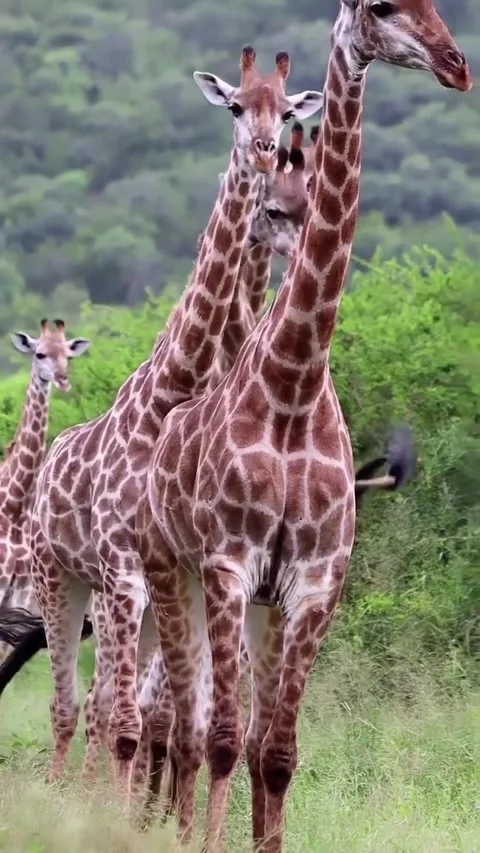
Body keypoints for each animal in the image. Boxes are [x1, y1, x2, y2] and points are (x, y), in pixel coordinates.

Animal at [29, 46, 323, 803]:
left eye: (286, 109)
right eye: (234, 105)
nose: (264, 149)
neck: (177, 382)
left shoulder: (157, 574)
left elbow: (152, 717)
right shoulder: (125, 570)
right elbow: (124, 715)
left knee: (109, 706)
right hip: (59, 578)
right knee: (73, 706)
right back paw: (66, 796)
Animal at [137, 2, 470, 849]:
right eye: (381, 9)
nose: (457, 65)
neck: (293, 383)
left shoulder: (314, 581)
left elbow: (277, 751)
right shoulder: (228, 565)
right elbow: (223, 740)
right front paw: (205, 841)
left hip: (257, 604)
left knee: (214, 730)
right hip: (173, 574)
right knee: (177, 725)